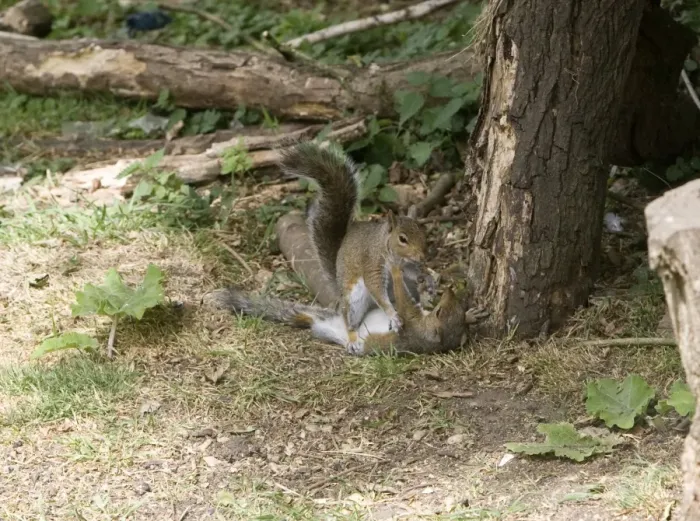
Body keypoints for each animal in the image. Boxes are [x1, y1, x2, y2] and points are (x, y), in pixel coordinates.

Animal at [202, 257, 488, 355]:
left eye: (440, 313)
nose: (449, 291)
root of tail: (331, 320)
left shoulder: (412, 323)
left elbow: (404, 303)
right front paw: (472, 315)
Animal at [278, 141, 428, 354]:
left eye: (422, 232)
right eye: (403, 239)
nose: (422, 256)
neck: (385, 245)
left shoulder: (405, 266)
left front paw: (426, 278)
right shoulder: (372, 261)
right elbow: (375, 286)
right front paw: (393, 314)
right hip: (354, 299)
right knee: (349, 322)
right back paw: (353, 339)